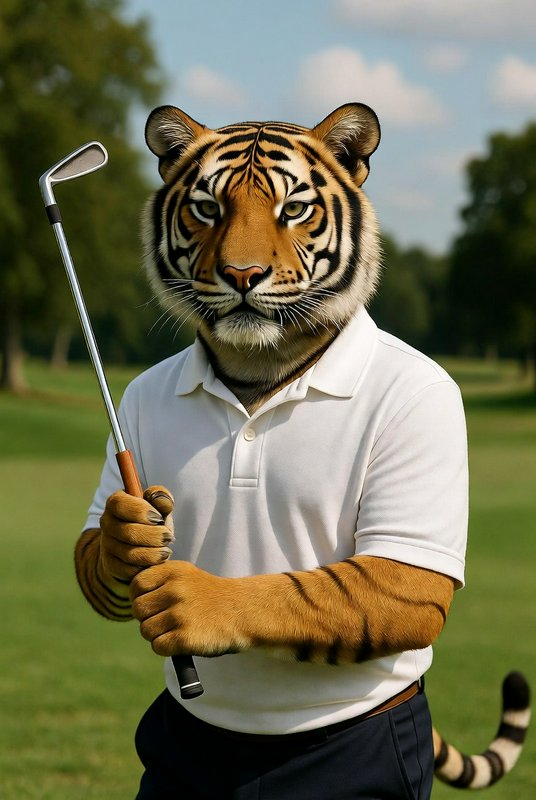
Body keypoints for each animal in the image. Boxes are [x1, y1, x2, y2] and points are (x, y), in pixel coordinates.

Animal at [75, 102, 530, 793]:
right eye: (207, 208)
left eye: (293, 209)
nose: (241, 275)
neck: (258, 374)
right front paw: (126, 534)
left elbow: (340, 586)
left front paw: (201, 605)